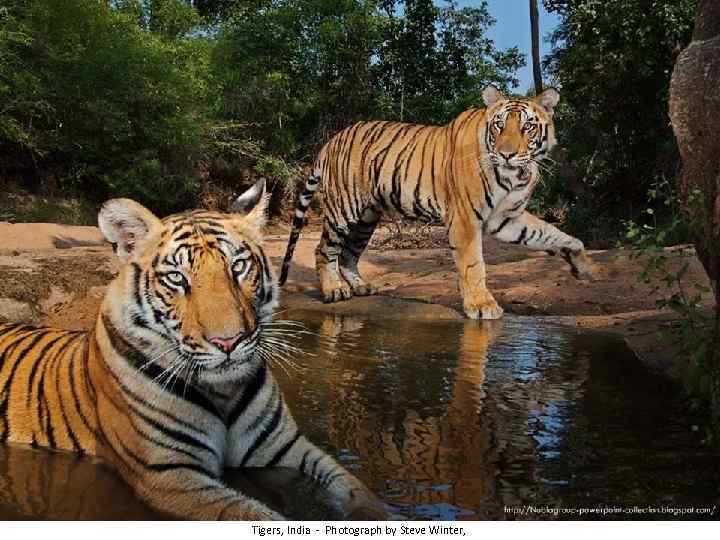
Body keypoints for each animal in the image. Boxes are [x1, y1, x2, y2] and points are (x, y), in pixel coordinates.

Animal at [0, 180, 386, 520]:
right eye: (177, 278)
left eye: (238, 267)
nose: (228, 342)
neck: (224, 391)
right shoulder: (169, 473)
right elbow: (248, 514)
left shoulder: (284, 446)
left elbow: (354, 487)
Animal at [278, 86, 592, 318]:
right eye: (499, 126)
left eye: (528, 127)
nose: (506, 154)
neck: (515, 175)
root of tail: (332, 140)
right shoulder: (465, 219)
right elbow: (473, 264)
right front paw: (482, 306)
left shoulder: (507, 218)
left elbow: (552, 233)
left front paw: (583, 265)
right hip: (344, 210)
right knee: (324, 250)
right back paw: (334, 290)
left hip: (366, 218)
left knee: (348, 254)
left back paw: (360, 287)